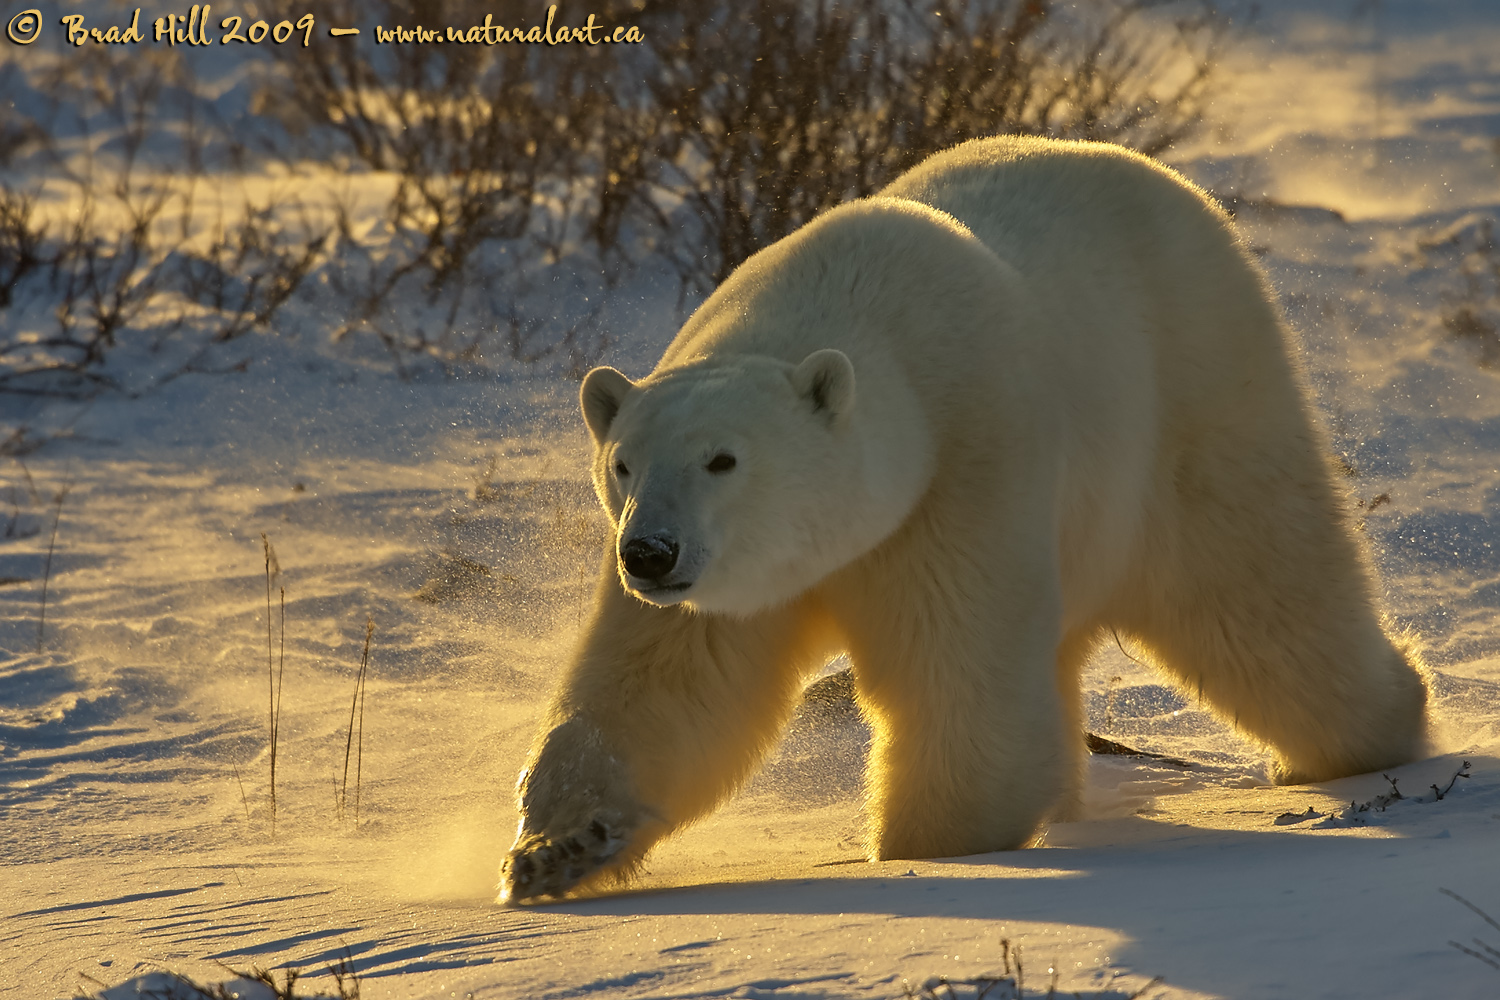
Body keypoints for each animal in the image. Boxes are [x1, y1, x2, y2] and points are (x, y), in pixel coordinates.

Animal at [501, 134, 1428, 905]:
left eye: (723, 459)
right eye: (624, 464)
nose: (650, 553)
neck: (847, 305)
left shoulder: (963, 468)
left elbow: (952, 666)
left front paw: (935, 845)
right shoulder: (733, 582)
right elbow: (670, 682)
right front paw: (555, 850)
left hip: (1193, 393)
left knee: (1257, 590)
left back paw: (1377, 728)